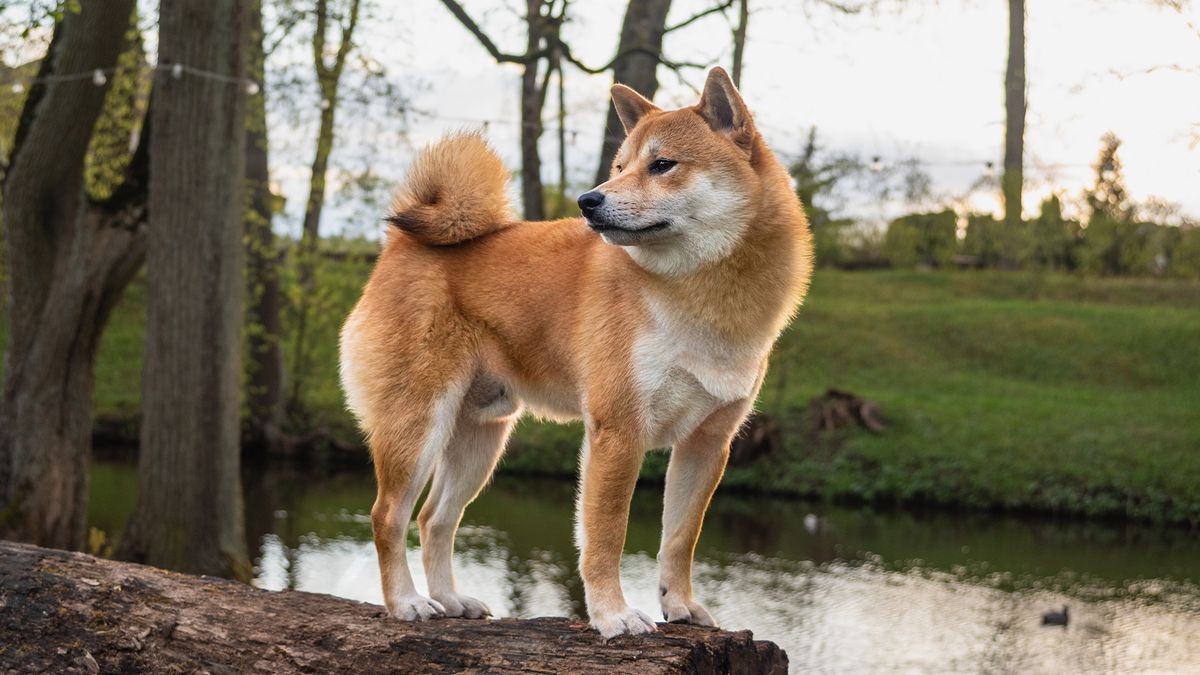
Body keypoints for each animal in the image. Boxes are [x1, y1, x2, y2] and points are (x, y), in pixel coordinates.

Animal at [338, 68, 811, 634]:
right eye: (620, 167)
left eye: (662, 165)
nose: (589, 200)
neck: (704, 295)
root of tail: (400, 247)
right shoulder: (618, 432)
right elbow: (606, 537)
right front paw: (613, 615)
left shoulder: (707, 443)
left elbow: (680, 539)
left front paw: (679, 606)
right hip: (418, 425)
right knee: (388, 515)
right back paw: (406, 602)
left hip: (480, 438)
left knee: (436, 519)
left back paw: (451, 599)